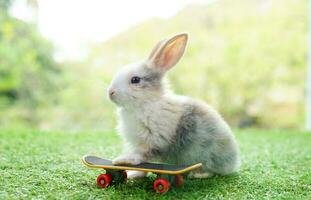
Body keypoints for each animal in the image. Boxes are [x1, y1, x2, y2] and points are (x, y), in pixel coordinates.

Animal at [107, 33, 241, 180]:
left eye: (135, 80)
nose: (110, 92)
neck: (146, 102)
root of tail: (234, 163)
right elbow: (144, 166)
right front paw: (133, 174)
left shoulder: (155, 141)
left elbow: (142, 156)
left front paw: (123, 161)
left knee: (211, 171)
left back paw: (197, 174)